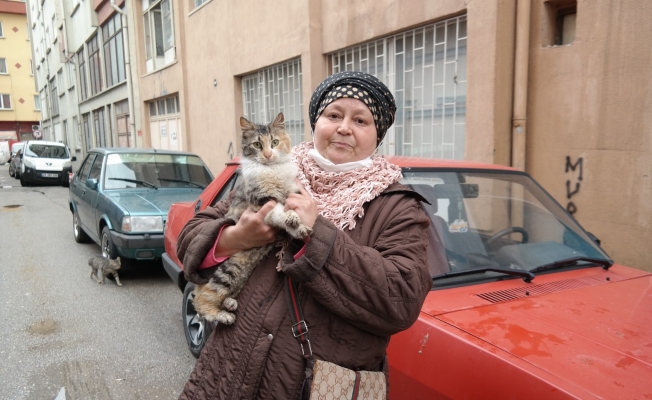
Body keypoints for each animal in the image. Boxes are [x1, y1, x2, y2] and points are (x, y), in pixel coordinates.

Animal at [192, 111, 312, 324]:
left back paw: (229, 304)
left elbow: (291, 212)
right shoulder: (263, 203)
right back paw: (224, 316)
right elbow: (279, 212)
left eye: (274, 142)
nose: (268, 155)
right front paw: (291, 220)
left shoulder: (292, 193)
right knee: (201, 301)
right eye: (257, 144)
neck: (272, 171)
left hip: (238, 275)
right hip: (224, 273)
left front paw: (299, 226)